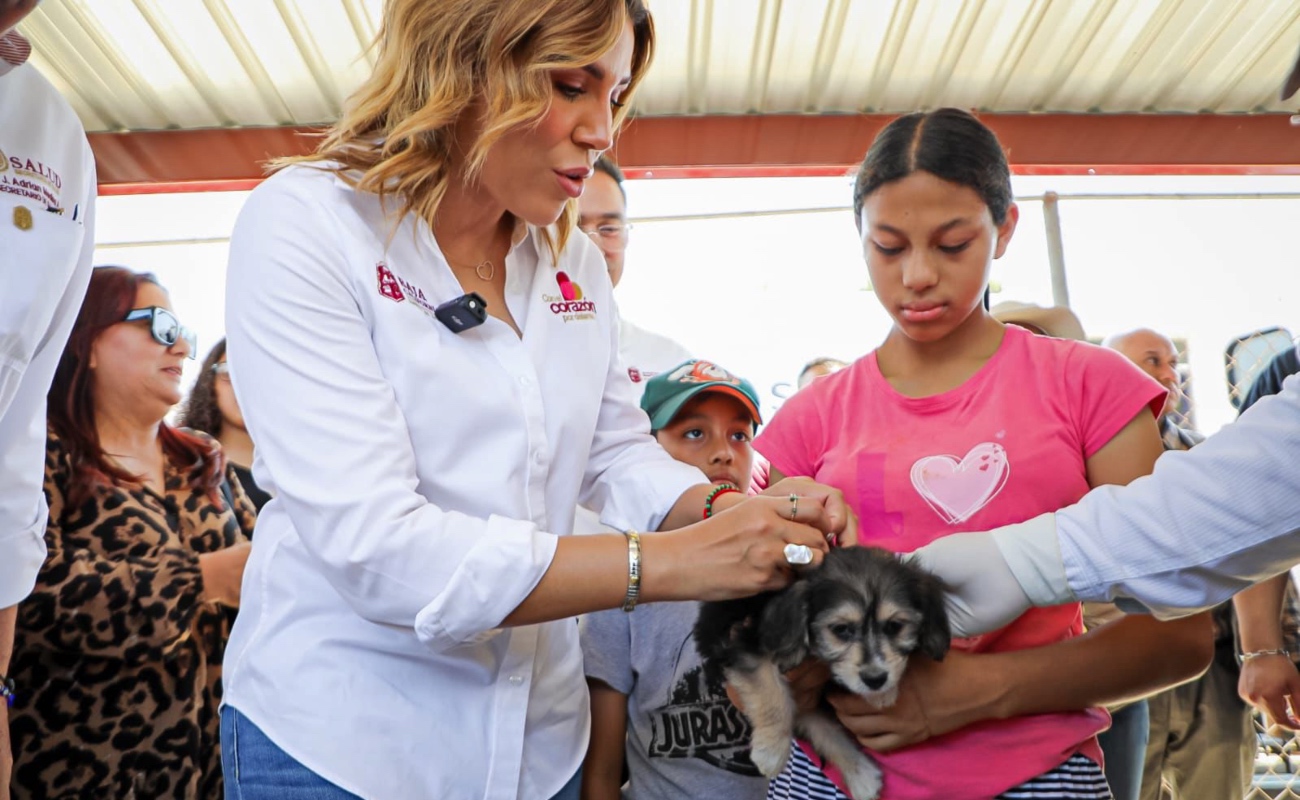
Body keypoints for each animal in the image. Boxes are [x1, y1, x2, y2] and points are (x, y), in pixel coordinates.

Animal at [696, 548, 951, 796]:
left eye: (894, 626)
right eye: (841, 629)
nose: (876, 679)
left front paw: (882, 692)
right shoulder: (746, 646)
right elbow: (770, 694)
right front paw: (771, 751)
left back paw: (861, 775)